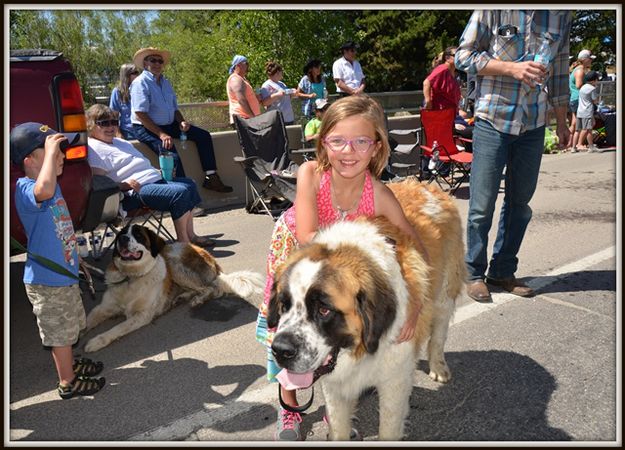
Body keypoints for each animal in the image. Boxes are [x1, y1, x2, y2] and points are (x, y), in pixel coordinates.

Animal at [81, 223, 262, 354]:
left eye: (138, 235)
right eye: (120, 234)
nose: (123, 239)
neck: (130, 277)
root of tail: (211, 258)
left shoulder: (141, 315)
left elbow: (116, 328)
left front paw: (96, 341)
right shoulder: (102, 308)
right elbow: (86, 321)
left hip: (175, 265)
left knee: (211, 288)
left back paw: (197, 299)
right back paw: (181, 297)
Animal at [266, 179, 466, 440]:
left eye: (324, 310)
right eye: (284, 304)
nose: (280, 350)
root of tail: (427, 185)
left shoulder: (394, 381)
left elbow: (388, 428)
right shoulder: (334, 388)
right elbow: (339, 425)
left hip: (445, 290)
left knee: (439, 332)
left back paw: (438, 367)